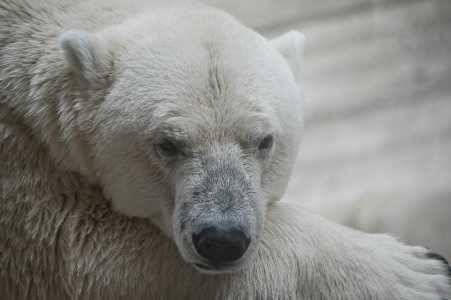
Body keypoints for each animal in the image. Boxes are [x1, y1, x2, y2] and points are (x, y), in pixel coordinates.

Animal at [0, 0, 451, 298]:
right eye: (167, 144)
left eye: (265, 140)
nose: (222, 240)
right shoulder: (27, 198)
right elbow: (85, 248)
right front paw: (417, 272)